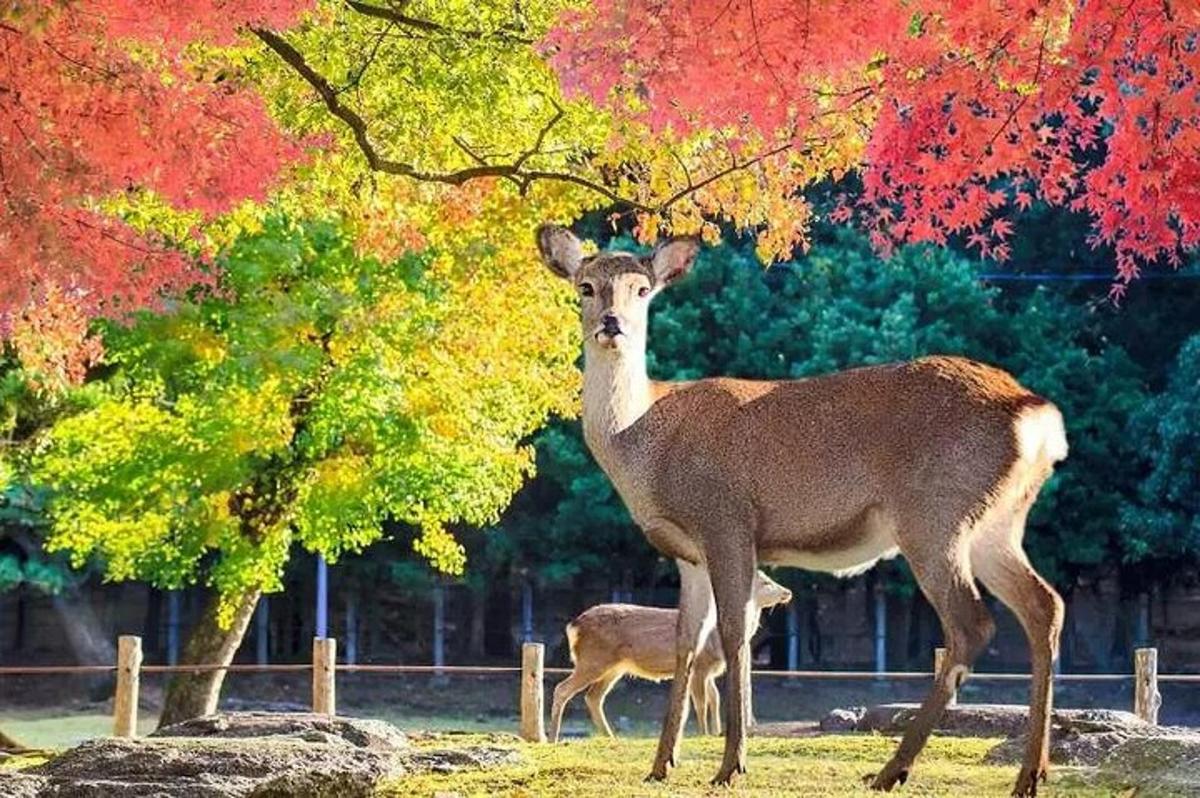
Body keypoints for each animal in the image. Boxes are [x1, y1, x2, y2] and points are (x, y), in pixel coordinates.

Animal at [549, 566, 792, 739]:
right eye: (765, 582)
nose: (787, 592)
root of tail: (573, 626)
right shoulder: (701, 665)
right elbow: (701, 701)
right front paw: (703, 733)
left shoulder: (710, 671)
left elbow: (715, 699)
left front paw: (716, 732)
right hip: (593, 659)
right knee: (562, 689)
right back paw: (552, 737)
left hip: (614, 667)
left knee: (593, 696)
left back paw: (610, 737)